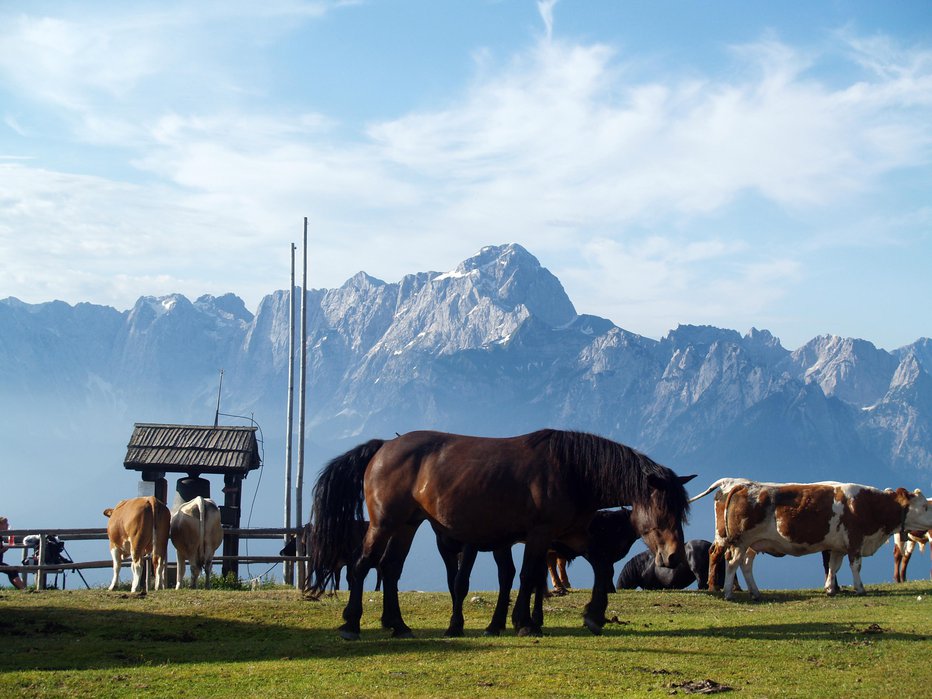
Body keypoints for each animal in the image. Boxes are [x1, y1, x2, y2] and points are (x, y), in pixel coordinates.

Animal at [306, 426, 692, 640]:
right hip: (385, 523)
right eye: (663, 509)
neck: (571, 470)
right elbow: (527, 575)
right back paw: (351, 624)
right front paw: (524, 622)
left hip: (407, 526)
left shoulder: (571, 535)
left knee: (389, 569)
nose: (675, 557)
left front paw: (594, 615)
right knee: (361, 565)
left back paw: (398, 625)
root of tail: (384, 446)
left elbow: (600, 564)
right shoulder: (539, 535)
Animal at [688, 482, 932, 600]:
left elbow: (833, 566)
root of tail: (743, 485)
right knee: (731, 563)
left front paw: (830, 589)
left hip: (752, 545)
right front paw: (860, 588)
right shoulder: (855, 540)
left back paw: (755, 592)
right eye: (924, 506)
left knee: (746, 566)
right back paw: (728, 592)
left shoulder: (838, 546)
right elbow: (855, 565)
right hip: (739, 541)